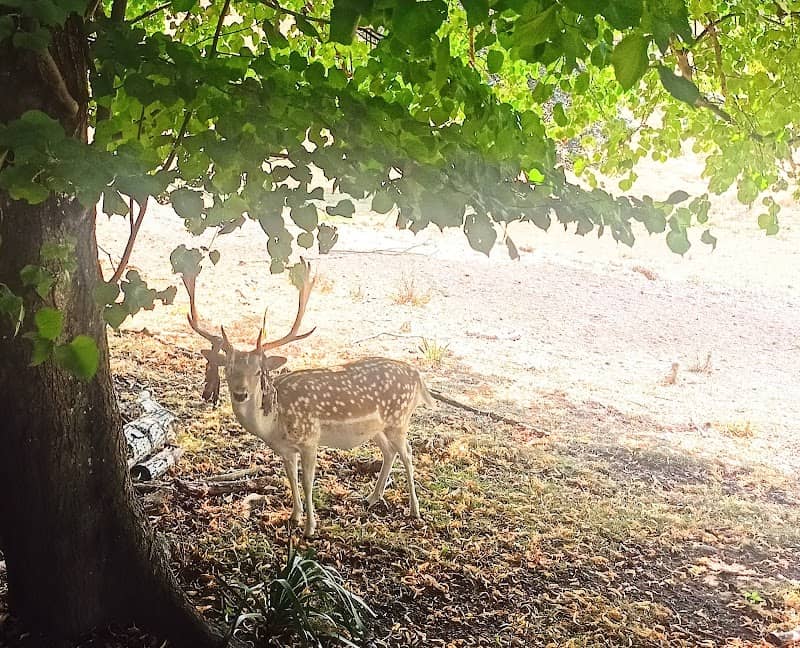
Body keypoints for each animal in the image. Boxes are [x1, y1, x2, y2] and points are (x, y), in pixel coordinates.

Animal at [181, 259, 434, 538]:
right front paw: (294, 516)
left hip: (399, 418)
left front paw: (310, 527)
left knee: (408, 454)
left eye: (258, 371)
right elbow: (291, 477)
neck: (275, 422)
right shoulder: (284, 449)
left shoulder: (310, 439)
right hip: (378, 427)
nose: (240, 393)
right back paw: (371, 498)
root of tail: (417, 375)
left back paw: (414, 510)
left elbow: (307, 480)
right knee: (389, 452)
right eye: (227, 369)